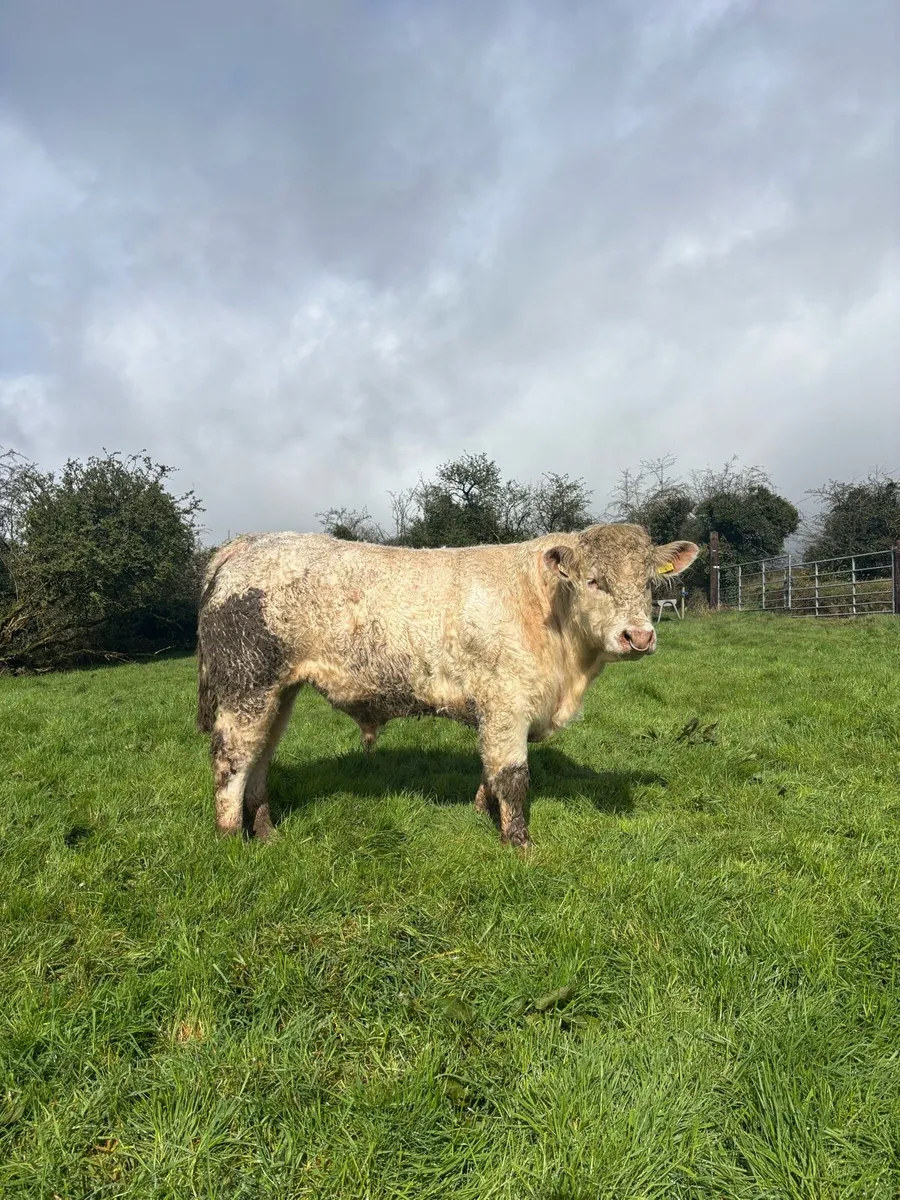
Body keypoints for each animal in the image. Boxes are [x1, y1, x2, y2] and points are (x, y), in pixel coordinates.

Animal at [196, 524, 698, 848]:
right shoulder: (506, 701)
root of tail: (251, 543)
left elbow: (490, 768)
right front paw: (519, 844)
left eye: (649, 583)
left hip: (279, 691)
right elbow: (513, 776)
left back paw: (265, 833)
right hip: (247, 684)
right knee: (232, 758)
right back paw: (230, 840)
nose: (639, 637)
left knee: (261, 757)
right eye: (594, 581)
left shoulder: (496, 710)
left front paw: (483, 813)